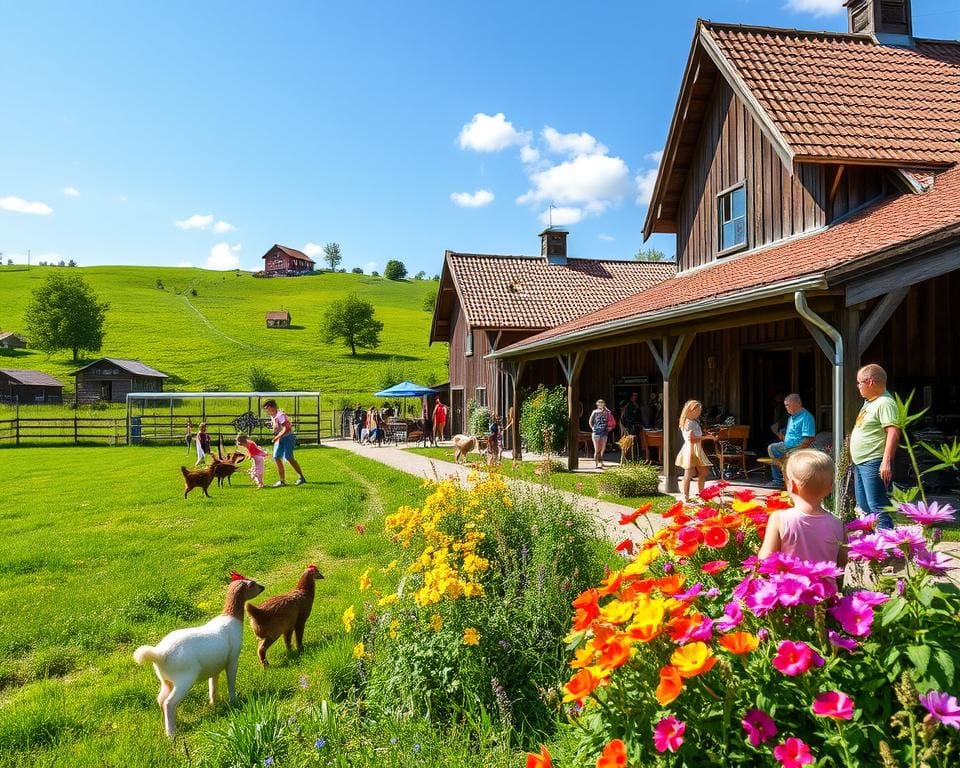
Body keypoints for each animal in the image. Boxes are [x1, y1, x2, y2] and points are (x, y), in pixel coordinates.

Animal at [132, 572, 262, 740]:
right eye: (252, 584)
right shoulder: (233, 660)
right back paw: (171, 734)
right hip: (185, 678)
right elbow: (231, 682)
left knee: (161, 700)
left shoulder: (215, 667)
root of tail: (160, 654)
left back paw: (174, 723)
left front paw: (214, 703)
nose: (263, 587)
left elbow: (213, 685)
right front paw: (234, 701)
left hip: (166, 681)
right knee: (169, 703)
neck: (232, 619)